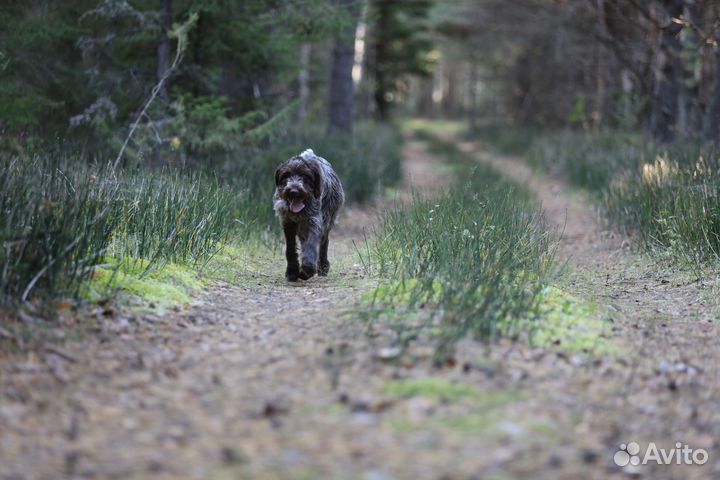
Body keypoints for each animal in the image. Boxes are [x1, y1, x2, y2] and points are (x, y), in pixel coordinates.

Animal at [274, 148, 344, 280]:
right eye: (286, 175)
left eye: (305, 176)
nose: (294, 191)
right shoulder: (287, 222)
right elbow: (290, 248)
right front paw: (292, 271)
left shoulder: (314, 220)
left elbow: (311, 245)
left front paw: (308, 269)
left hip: (327, 220)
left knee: (323, 243)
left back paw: (322, 266)